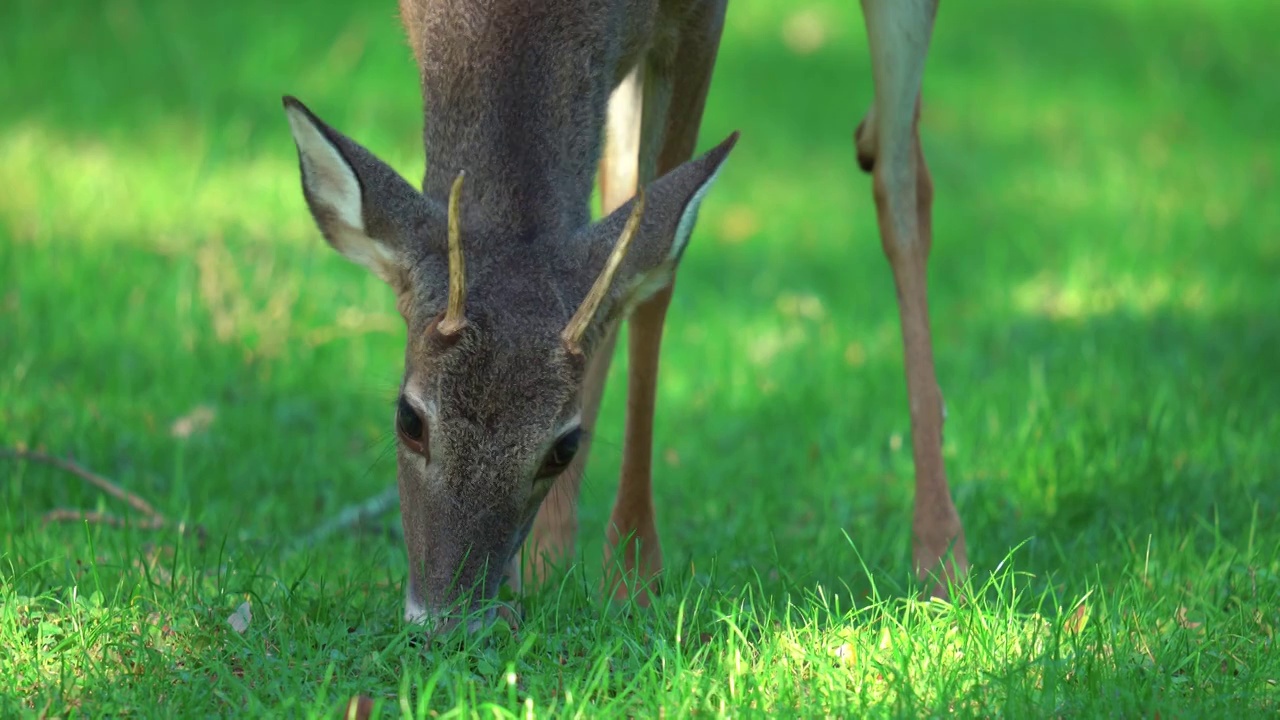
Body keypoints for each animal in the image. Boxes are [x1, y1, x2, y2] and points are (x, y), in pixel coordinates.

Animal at [280, 0, 962, 630]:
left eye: (562, 447)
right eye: (409, 419)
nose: (449, 622)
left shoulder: (698, 20)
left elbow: (657, 273)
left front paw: (633, 576)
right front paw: (544, 568)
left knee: (903, 183)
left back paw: (940, 559)